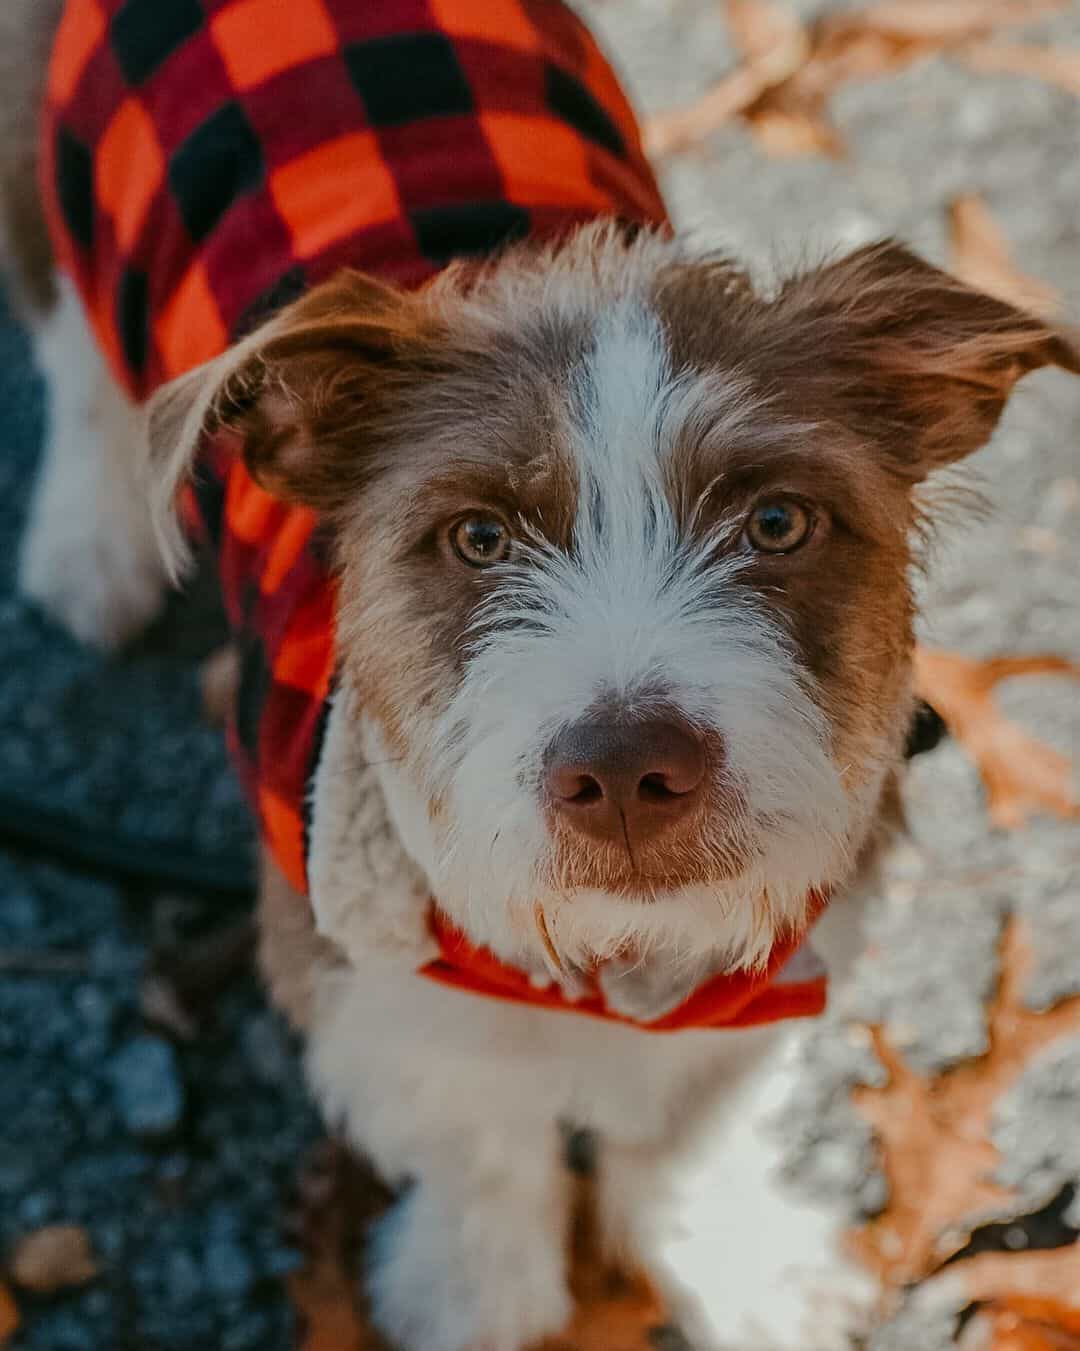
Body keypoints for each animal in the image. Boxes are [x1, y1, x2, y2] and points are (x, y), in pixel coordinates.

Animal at [4, 2, 1075, 1351]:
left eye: (778, 523)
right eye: (476, 537)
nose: (624, 771)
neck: (618, 966)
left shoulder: (780, 947)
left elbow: (689, 1121)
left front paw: (736, 1260)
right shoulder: (356, 951)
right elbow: (480, 1134)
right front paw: (477, 1291)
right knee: (80, 356)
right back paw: (87, 541)